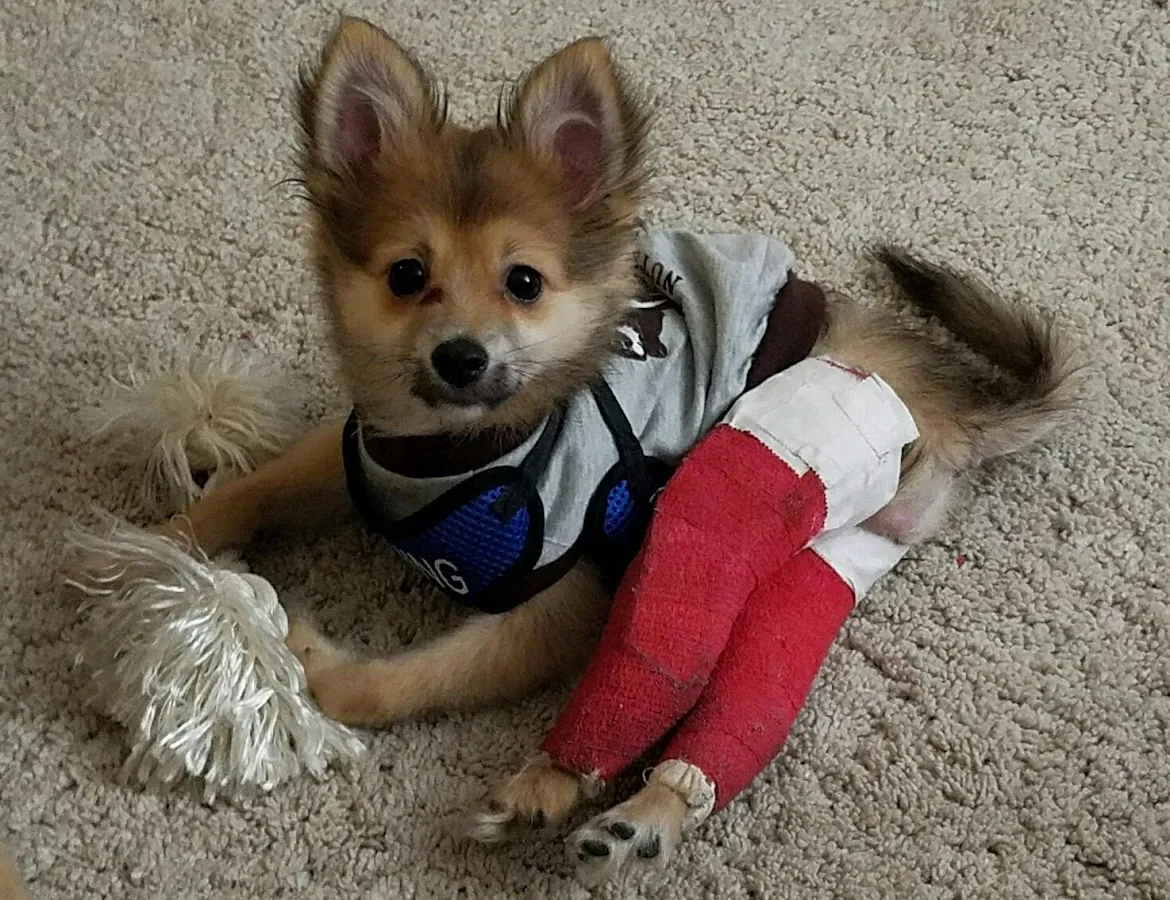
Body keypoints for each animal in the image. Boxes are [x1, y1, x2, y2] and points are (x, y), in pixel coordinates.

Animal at [159, 17, 1082, 883]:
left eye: (524, 283)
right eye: (406, 275)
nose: (461, 357)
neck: (455, 452)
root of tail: (946, 396)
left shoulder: (558, 604)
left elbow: (395, 682)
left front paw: (302, 654)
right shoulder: (356, 458)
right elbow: (254, 487)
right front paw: (167, 541)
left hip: (771, 462)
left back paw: (567, 791)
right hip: (831, 553)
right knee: (758, 679)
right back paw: (647, 815)